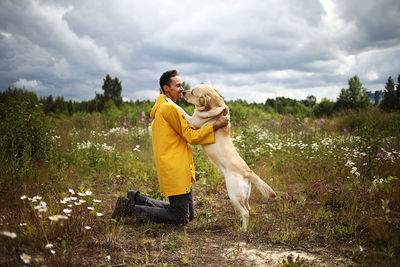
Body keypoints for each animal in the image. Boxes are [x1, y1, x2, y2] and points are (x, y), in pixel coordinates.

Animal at [180, 84, 276, 232]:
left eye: (193, 91)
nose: (183, 92)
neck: (214, 107)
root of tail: (248, 172)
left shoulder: (192, 121)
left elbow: (181, 109)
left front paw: (167, 98)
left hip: (233, 195)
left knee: (245, 212)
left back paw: (243, 230)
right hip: (245, 195)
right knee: (249, 208)